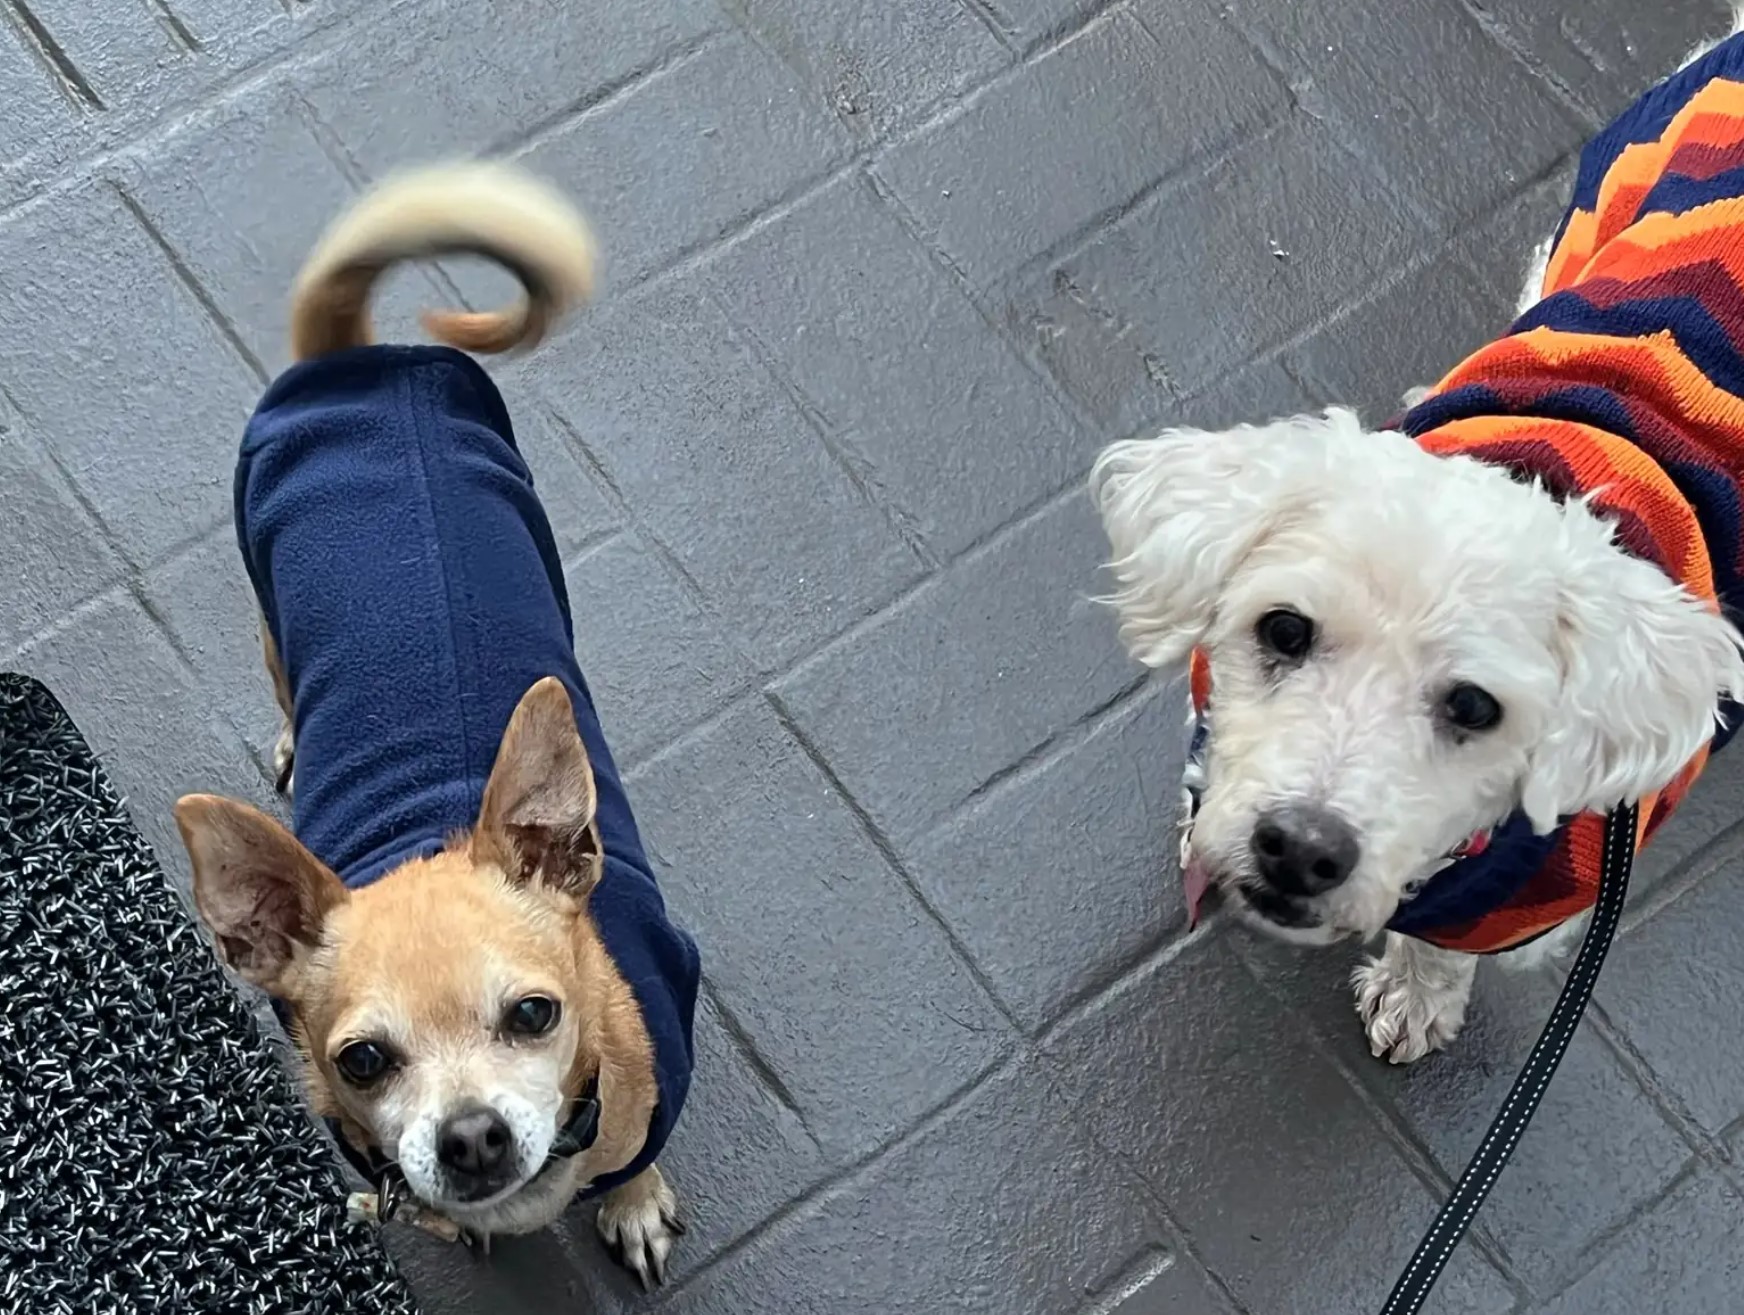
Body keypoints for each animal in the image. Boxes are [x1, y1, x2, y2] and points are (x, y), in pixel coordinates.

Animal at [1095, 10, 1744, 1060]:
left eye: (1475, 707)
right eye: (1283, 630)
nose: (1300, 848)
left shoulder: (1520, 904)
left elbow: (1441, 946)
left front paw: (1416, 992)